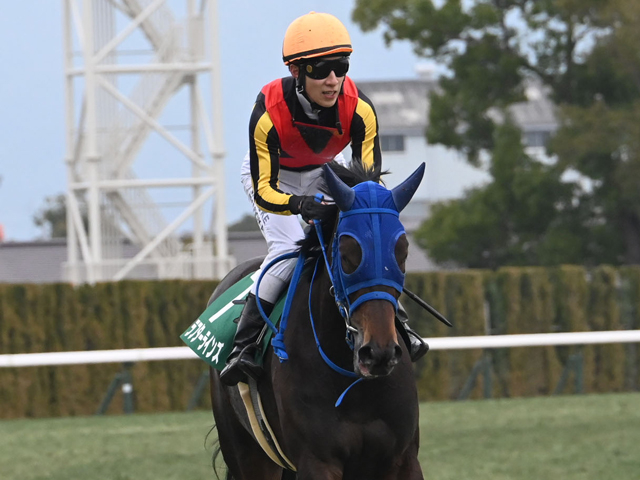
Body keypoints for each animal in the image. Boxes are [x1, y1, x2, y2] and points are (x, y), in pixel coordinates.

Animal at [208, 160, 425, 480]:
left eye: (402, 251)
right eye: (346, 253)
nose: (379, 353)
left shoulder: (403, 459)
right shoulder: (316, 461)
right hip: (246, 453)